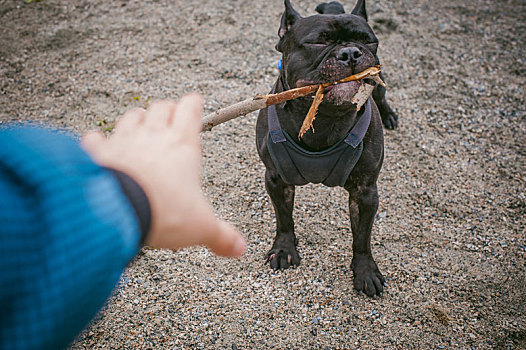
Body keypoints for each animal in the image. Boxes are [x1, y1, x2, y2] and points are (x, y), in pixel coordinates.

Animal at [255, 0, 396, 298]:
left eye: (368, 40)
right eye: (317, 43)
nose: (351, 52)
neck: (325, 117)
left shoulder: (366, 192)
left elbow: (362, 237)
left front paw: (365, 271)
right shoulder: (276, 179)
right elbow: (284, 217)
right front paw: (284, 249)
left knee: (381, 93)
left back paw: (389, 114)